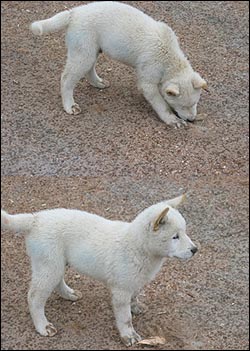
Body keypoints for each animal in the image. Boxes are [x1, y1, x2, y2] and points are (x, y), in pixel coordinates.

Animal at [1, 195, 197, 346]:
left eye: (184, 233)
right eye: (175, 237)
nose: (195, 249)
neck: (137, 246)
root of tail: (36, 218)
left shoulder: (134, 282)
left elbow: (134, 296)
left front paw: (135, 306)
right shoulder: (121, 290)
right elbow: (125, 317)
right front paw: (129, 336)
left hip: (56, 263)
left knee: (57, 281)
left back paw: (69, 294)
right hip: (48, 265)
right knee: (34, 297)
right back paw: (43, 326)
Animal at [30, 1, 207, 128]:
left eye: (195, 103)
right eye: (182, 106)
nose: (192, 119)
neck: (170, 58)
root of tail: (73, 13)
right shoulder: (148, 75)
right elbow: (158, 100)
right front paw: (172, 119)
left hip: (91, 49)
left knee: (89, 67)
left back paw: (98, 82)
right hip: (83, 48)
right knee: (67, 78)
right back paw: (70, 105)